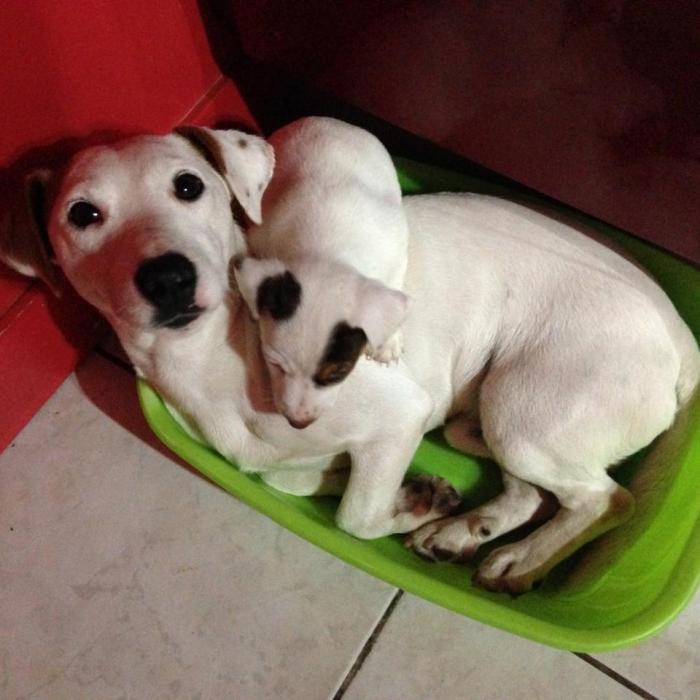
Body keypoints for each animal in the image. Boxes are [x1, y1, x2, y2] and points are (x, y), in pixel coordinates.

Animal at [235, 117, 410, 430]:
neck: (324, 246)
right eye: (274, 363)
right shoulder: (261, 240)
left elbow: (394, 286)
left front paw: (388, 342)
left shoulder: (396, 244)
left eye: (337, 373)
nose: (297, 423)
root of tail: (331, 120)